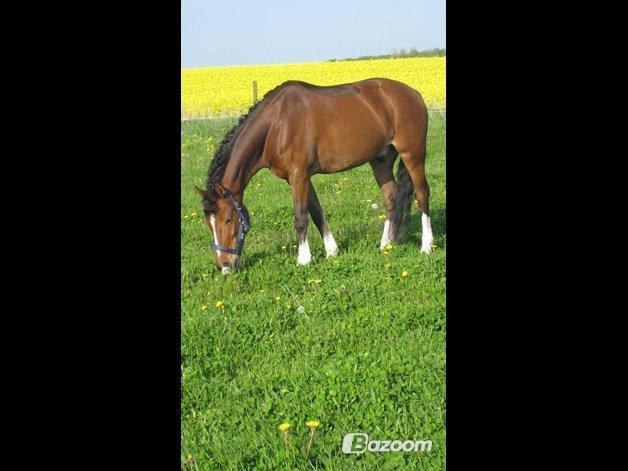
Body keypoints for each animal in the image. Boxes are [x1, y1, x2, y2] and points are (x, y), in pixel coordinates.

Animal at [196, 79, 432, 274]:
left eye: (228, 219)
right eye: (208, 222)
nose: (224, 265)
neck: (276, 125)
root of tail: (414, 94)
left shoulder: (298, 175)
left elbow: (300, 217)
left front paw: (304, 259)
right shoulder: (300, 177)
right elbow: (316, 211)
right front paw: (332, 251)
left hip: (412, 154)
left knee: (422, 193)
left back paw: (427, 245)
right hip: (381, 160)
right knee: (391, 197)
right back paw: (386, 244)